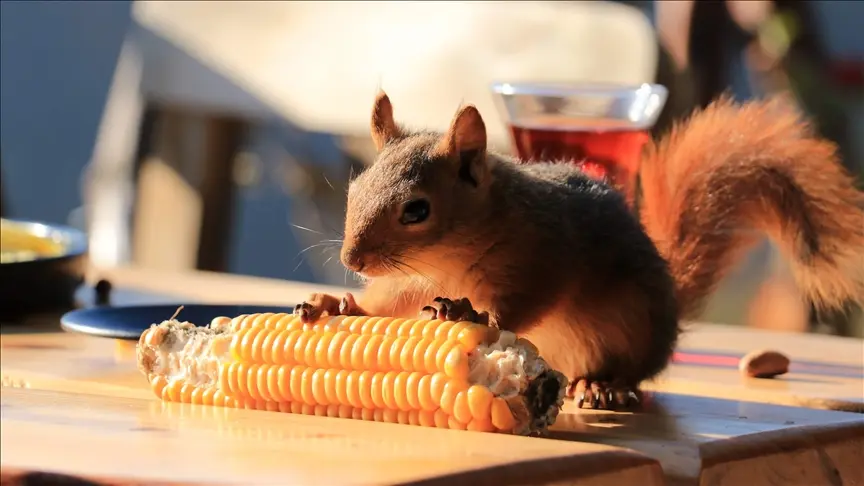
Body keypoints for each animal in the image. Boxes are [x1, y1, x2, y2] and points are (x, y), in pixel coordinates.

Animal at [294, 91, 864, 410]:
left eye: (417, 210)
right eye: (355, 188)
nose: (351, 261)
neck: (446, 262)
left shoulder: (548, 254)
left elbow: (527, 304)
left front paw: (469, 311)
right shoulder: (407, 284)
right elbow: (384, 306)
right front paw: (334, 303)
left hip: (633, 323)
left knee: (635, 370)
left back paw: (603, 386)